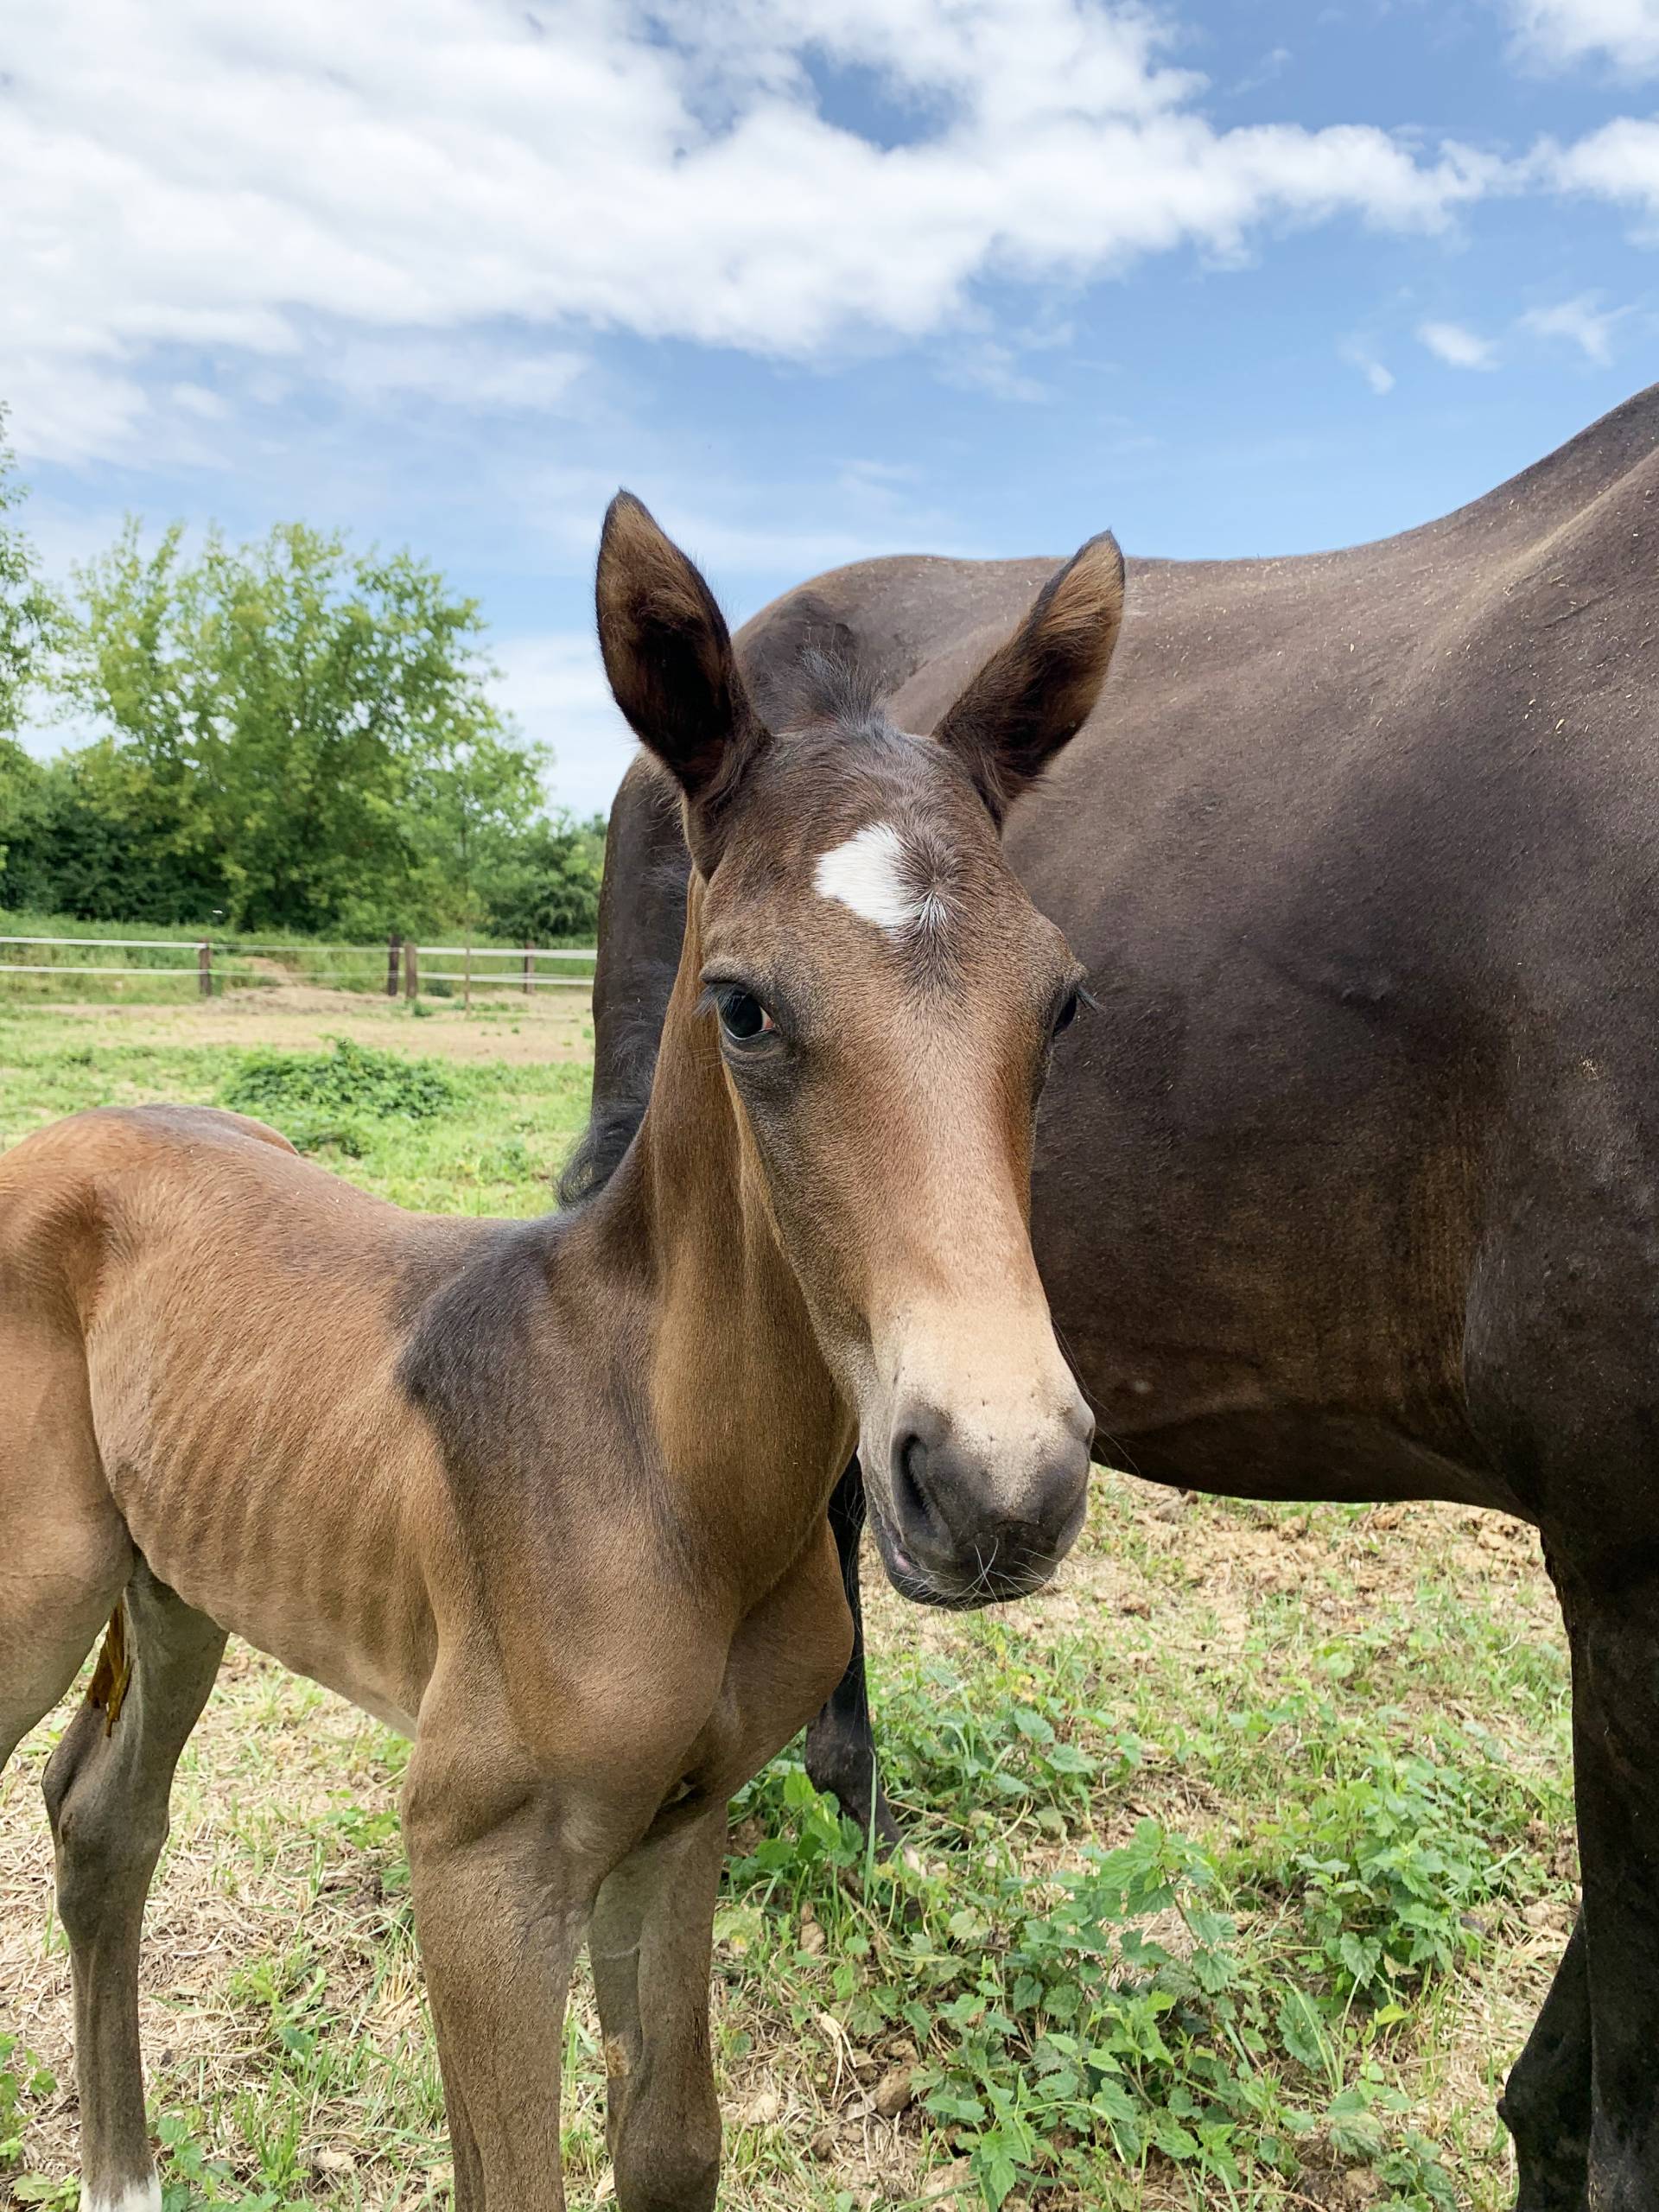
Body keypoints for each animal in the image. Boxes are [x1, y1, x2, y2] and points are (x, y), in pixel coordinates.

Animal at [0, 493, 1123, 2212]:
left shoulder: (677, 1825)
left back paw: (123, 2177)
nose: (1000, 1485)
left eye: (1060, 1004)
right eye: (739, 1004)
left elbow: (669, 2148)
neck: (675, 1485)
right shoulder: (478, 1853)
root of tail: (62, 1138)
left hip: (178, 1583)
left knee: (103, 1821)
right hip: (36, 1592)